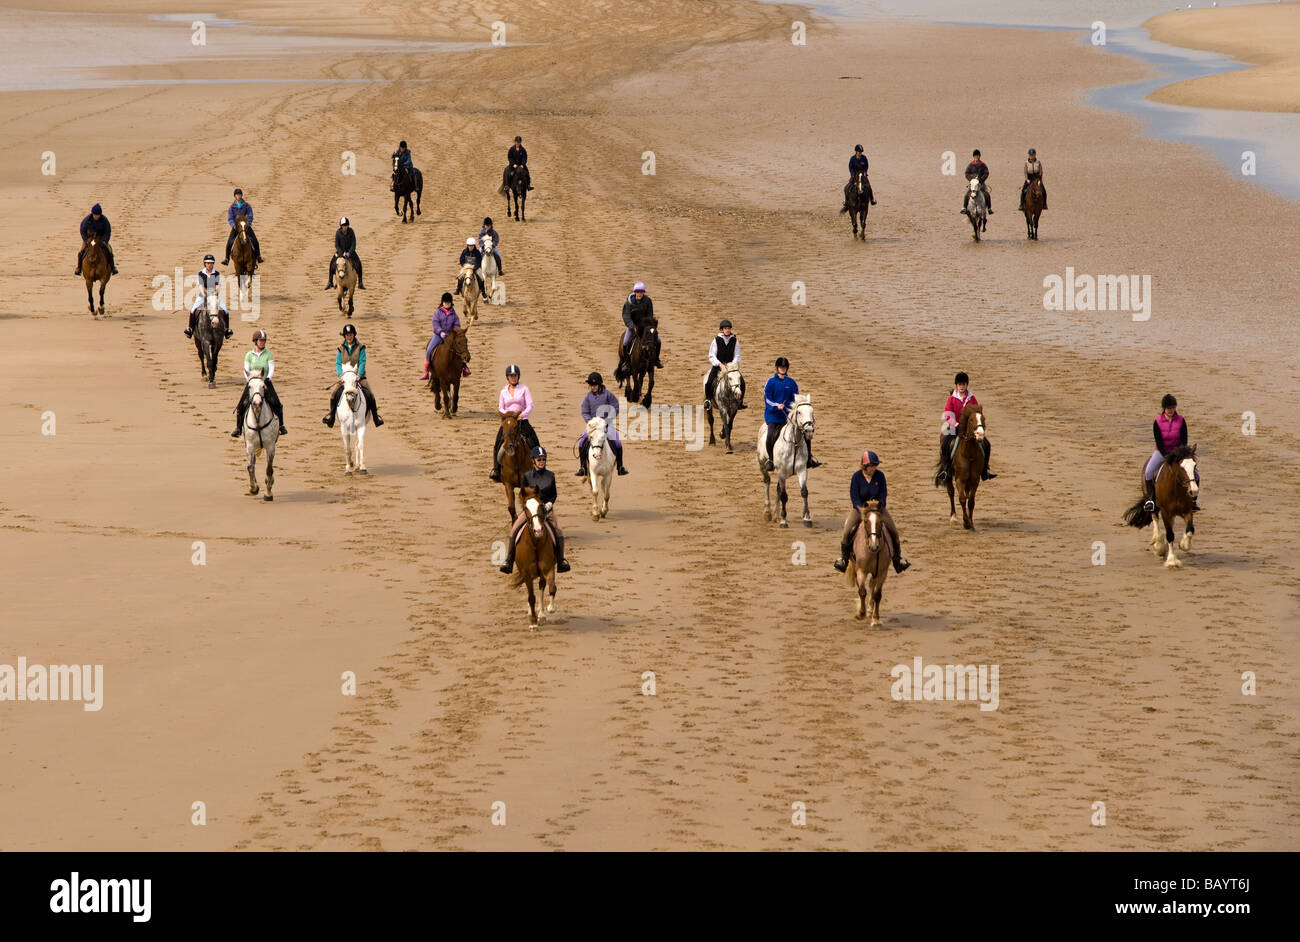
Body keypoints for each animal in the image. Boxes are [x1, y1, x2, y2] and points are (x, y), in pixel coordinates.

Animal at [504, 485, 556, 631]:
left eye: (541, 506)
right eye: (526, 508)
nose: (538, 530)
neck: (535, 543)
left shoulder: (548, 568)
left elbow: (551, 587)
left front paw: (550, 609)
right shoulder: (526, 572)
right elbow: (531, 597)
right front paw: (533, 622)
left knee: (542, 585)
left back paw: (542, 614)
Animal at [754, 392, 811, 530]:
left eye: (812, 411)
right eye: (799, 412)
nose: (809, 430)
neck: (794, 443)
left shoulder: (802, 470)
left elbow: (804, 492)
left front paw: (807, 518)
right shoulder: (782, 472)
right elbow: (784, 496)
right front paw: (783, 521)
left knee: (778, 488)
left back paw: (776, 514)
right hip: (763, 466)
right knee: (767, 482)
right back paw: (768, 513)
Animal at [935, 397, 982, 530]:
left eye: (983, 418)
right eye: (971, 420)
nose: (980, 434)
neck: (969, 454)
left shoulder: (974, 479)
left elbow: (970, 501)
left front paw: (971, 523)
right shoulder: (959, 479)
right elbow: (962, 499)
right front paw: (965, 523)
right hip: (949, 475)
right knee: (951, 492)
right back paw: (953, 517)